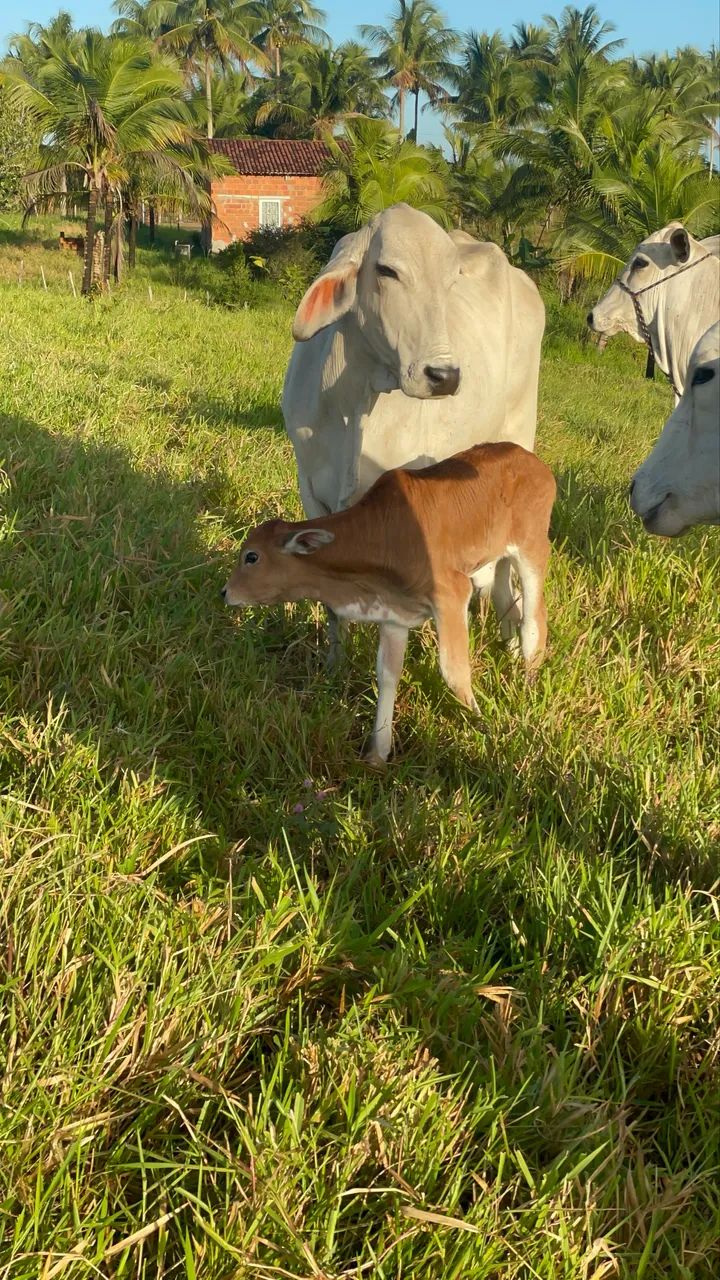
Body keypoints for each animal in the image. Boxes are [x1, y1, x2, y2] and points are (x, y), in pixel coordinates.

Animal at [223, 442, 556, 766]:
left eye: (251, 557)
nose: (225, 592)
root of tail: (531, 460)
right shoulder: (394, 613)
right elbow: (387, 676)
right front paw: (378, 752)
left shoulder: (452, 593)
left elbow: (453, 670)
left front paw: (480, 722)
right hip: (499, 559)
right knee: (509, 607)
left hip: (532, 548)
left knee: (534, 621)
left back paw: (528, 683)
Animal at [281, 203, 545, 662]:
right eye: (387, 270)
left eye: (451, 281)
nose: (445, 376)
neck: (351, 401)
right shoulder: (311, 488)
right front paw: (334, 661)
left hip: (519, 431)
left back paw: (512, 633)